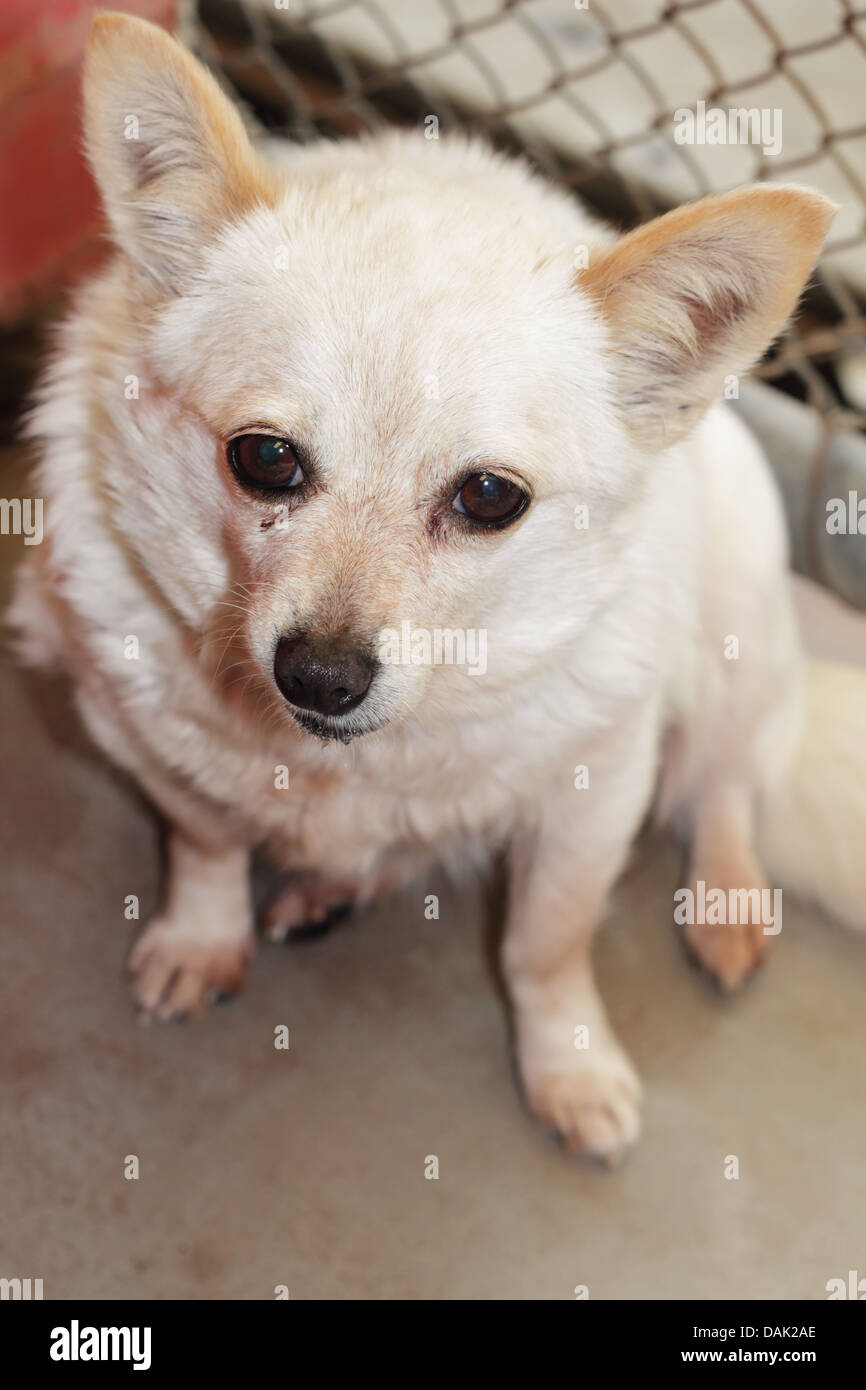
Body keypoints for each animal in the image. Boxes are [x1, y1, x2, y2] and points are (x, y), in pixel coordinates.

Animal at [10, 13, 861, 1162]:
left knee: (728, 779)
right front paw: (202, 937)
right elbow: (207, 841)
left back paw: (724, 901)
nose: (320, 677)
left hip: (735, 621)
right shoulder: (142, 738)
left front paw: (568, 1067)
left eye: (490, 497)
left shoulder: (593, 799)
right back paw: (329, 883)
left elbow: (546, 945)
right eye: (263, 458)